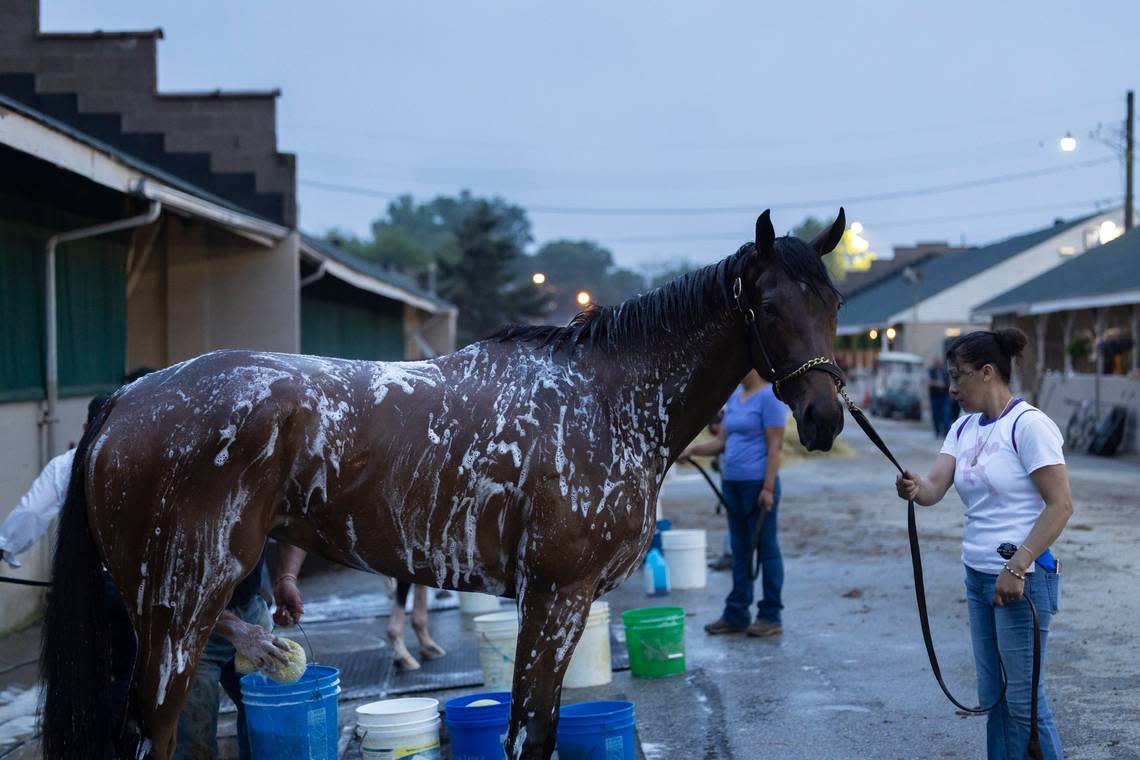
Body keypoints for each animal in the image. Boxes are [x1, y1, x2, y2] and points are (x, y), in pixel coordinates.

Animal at [42, 208, 848, 760]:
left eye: (834, 304)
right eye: (770, 307)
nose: (825, 417)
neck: (604, 398)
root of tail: (126, 401)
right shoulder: (556, 598)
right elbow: (529, 735)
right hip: (179, 608)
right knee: (151, 733)